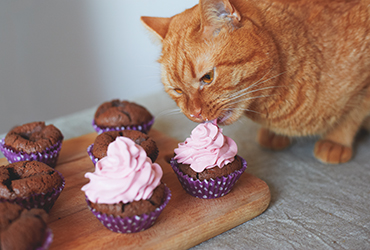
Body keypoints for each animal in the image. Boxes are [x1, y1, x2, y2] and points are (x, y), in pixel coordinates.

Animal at [141, 0, 370, 164]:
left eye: (207, 78)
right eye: (177, 90)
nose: (194, 114)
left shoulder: (364, 88)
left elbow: (352, 115)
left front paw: (335, 140)